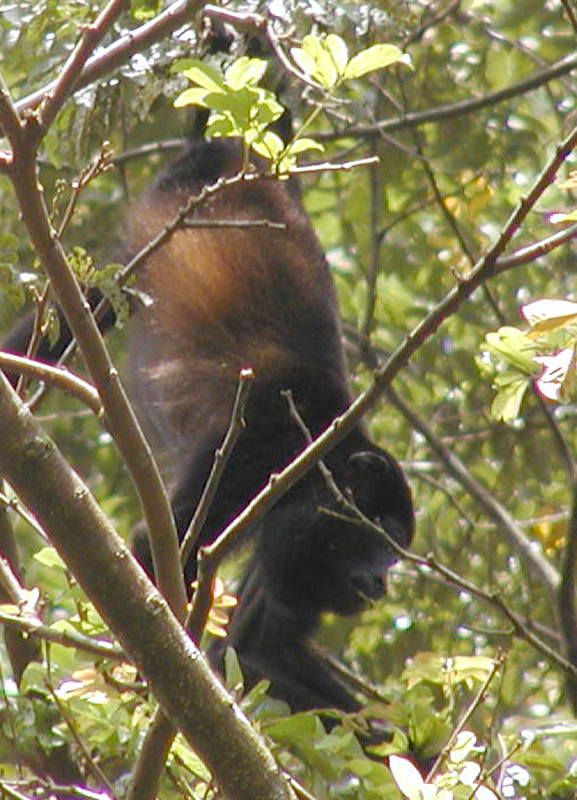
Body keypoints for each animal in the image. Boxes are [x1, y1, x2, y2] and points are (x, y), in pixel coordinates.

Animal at [2, 136, 412, 712]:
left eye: (395, 556)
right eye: (382, 539)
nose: (381, 585)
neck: (323, 450)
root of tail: (237, 148)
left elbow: (254, 649)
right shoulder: (265, 439)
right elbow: (164, 548)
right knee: (90, 300)